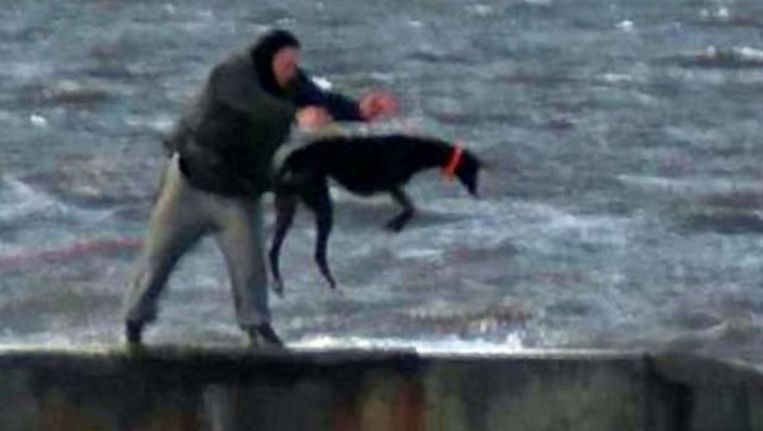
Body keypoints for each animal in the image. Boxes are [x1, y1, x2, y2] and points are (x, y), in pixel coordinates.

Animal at [272, 134, 480, 296]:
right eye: (473, 172)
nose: (477, 193)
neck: (415, 150)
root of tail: (294, 157)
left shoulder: (393, 187)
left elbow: (410, 208)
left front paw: (396, 224)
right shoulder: (392, 185)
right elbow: (410, 208)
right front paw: (396, 224)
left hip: (288, 205)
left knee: (273, 251)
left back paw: (280, 284)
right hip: (320, 203)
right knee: (318, 254)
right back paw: (333, 285)